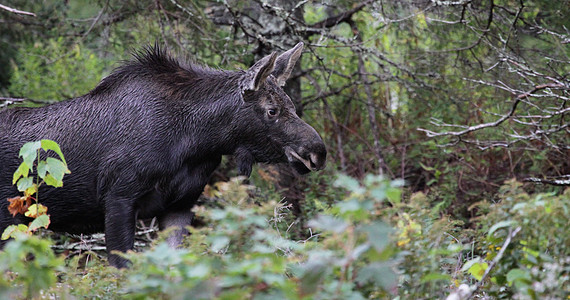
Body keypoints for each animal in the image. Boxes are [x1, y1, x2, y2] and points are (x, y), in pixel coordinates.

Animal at [0, 42, 326, 268]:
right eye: (272, 110)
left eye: (291, 104)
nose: (317, 152)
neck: (195, 141)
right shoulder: (119, 198)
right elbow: (123, 268)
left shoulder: (181, 204)